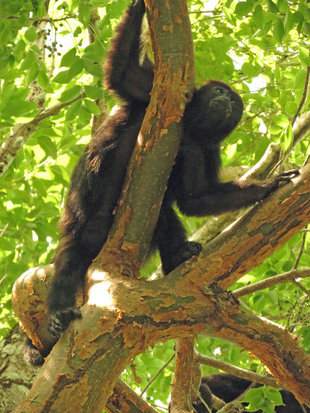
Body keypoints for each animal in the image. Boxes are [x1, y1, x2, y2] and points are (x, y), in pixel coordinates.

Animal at [23, 0, 296, 360]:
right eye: (220, 91)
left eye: (234, 105)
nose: (225, 101)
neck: (191, 127)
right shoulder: (157, 90)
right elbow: (124, 73)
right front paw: (141, 5)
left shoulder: (206, 148)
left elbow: (194, 199)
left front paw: (268, 187)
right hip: (81, 225)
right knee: (69, 261)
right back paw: (58, 315)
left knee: (163, 215)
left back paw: (177, 257)